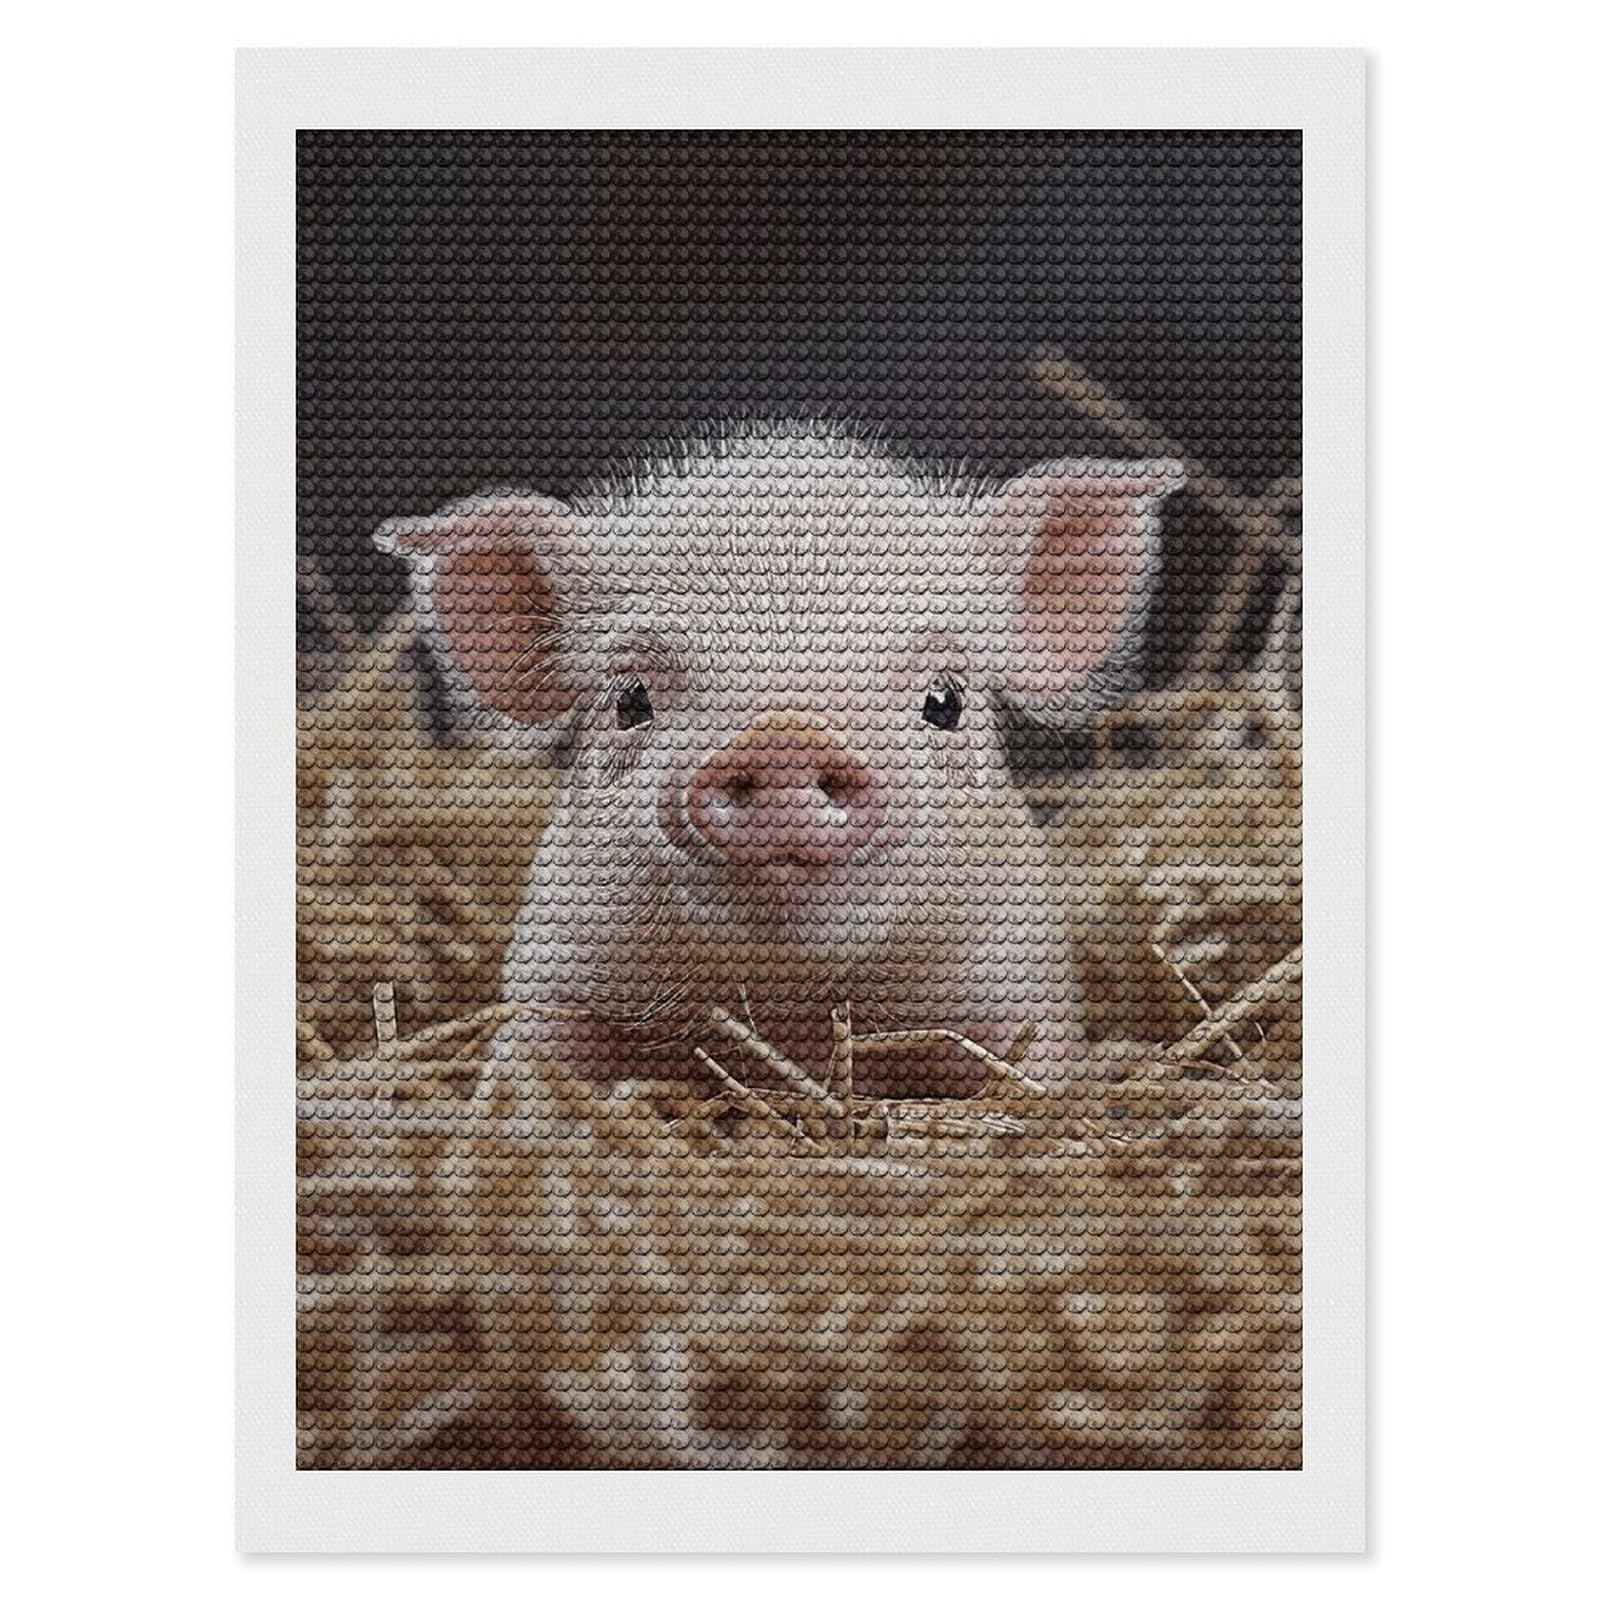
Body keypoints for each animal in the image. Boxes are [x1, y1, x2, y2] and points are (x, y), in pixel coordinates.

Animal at [377, 421, 1184, 1099]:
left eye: (945, 700)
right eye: (630, 698)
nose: (784, 740)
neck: (791, 1014)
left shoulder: (1025, 989)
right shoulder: (555, 979)